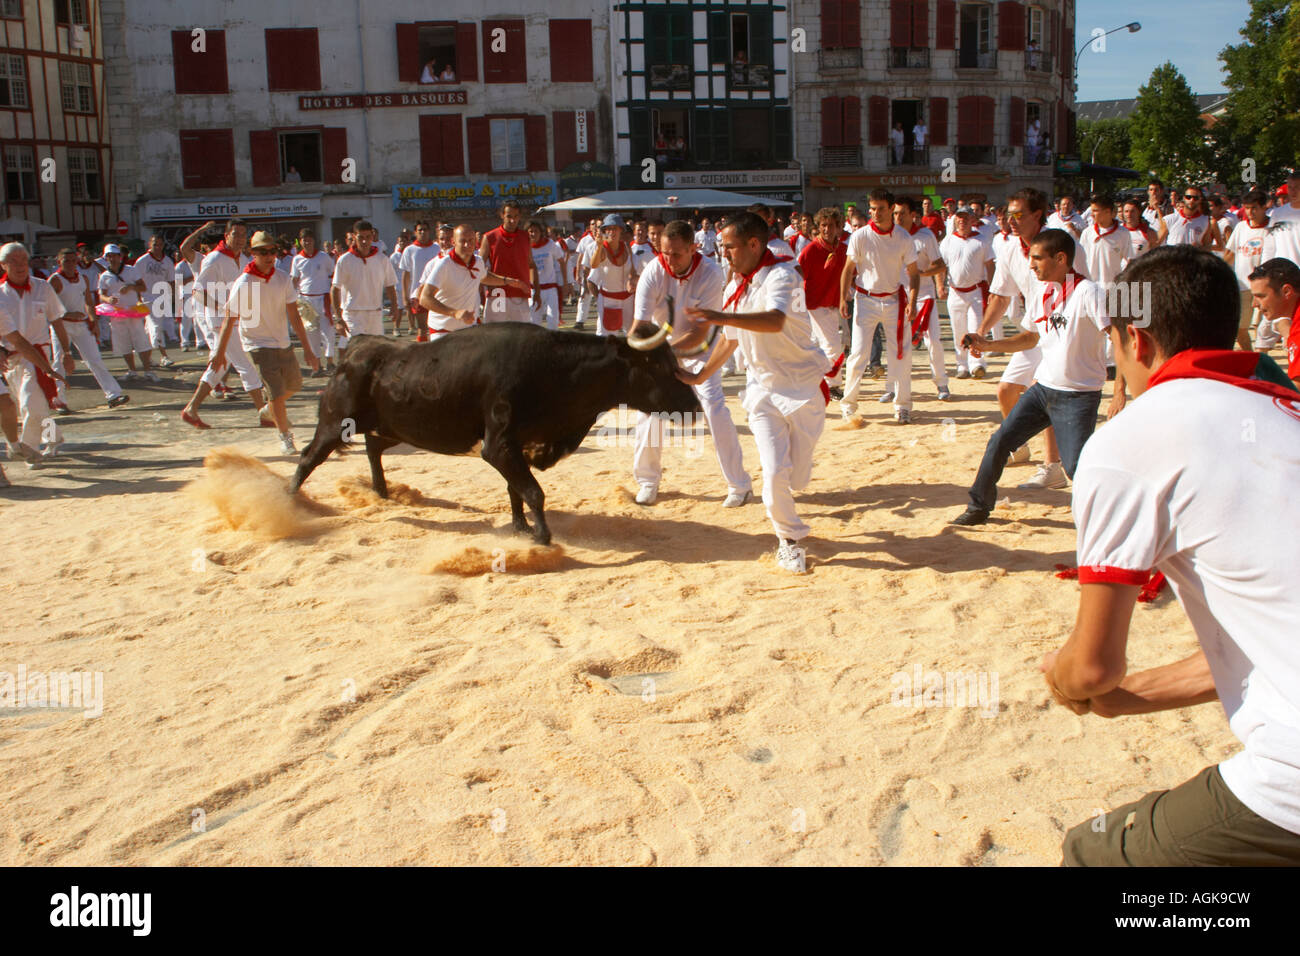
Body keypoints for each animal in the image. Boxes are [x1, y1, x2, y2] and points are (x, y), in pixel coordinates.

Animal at [289, 325, 702, 545]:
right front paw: (540, 537)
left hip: (392, 428)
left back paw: (381, 492)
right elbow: (533, 492)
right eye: (655, 364)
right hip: (334, 425)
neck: (555, 371)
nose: (694, 405)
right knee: (308, 458)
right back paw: (291, 503)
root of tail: (359, 345)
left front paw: (520, 527)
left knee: (373, 446)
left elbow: (515, 490)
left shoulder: (515, 448)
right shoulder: (499, 446)